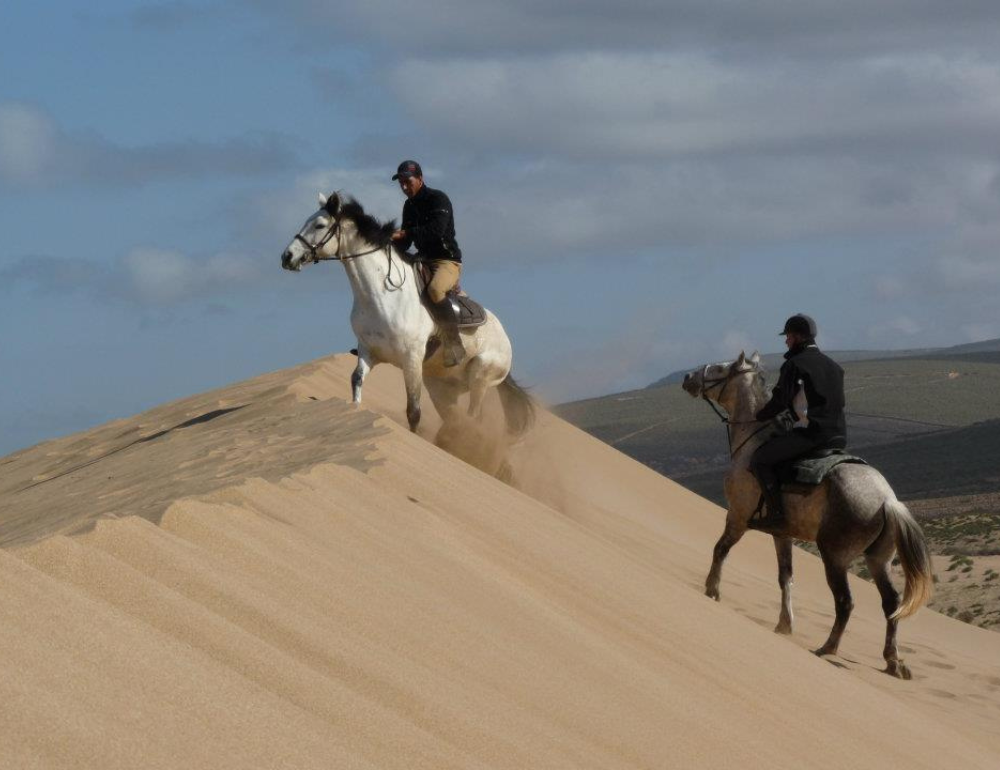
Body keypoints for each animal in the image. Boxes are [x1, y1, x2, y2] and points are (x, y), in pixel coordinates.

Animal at [278, 190, 536, 444]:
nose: (287, 256)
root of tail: (505, 340)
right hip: (442, 388)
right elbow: (356, 381)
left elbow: (413, 411)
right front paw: (354, 411)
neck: (382, 294)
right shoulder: (368, 351)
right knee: (456, 419)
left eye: (320, 225)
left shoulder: (411, 360)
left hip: (480, 378)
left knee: (474, 416)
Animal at [684, 352, 932, 676]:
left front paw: (712, 589)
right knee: (891, 604)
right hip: (879, 560)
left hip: (835, 556)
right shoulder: (782, 534)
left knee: (845, 602)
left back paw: (828, 647)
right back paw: (892, 660)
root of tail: (887, 500)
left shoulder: (736, 517)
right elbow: (785, 578)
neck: (754, 441)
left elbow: (720, 550)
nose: (688, 377)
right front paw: (784, 624)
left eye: (719, 369)